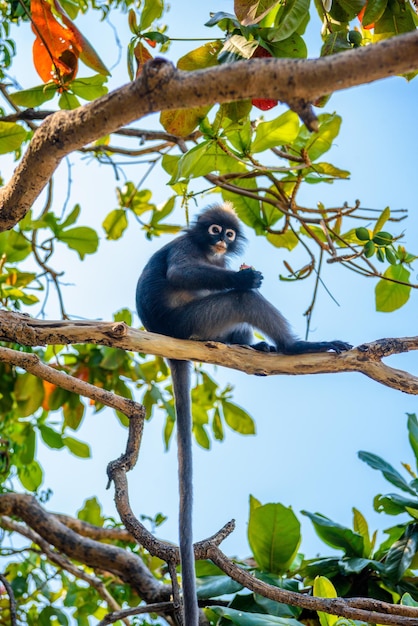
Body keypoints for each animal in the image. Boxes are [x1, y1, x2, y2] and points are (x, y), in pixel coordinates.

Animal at [136, 202, 352, 620]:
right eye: (215, 230)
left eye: (230, 234)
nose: (222, 240)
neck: (209, 253)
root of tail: (167, 340)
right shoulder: (188, 248)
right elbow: (181, 272)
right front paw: (246, 276)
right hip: (193, 322)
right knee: (241, 301)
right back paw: (293, 346)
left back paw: (257, 347)